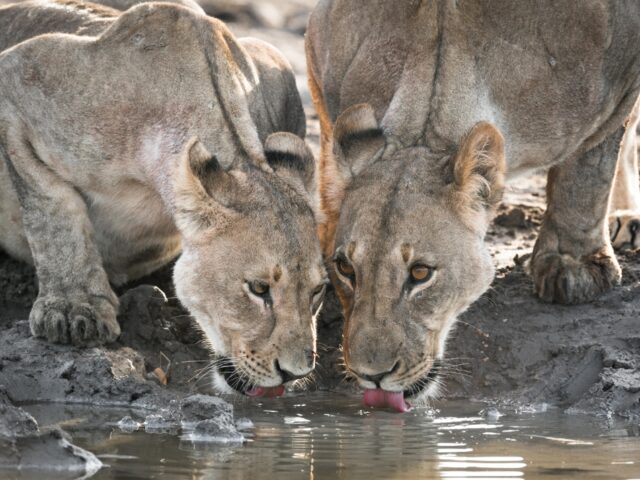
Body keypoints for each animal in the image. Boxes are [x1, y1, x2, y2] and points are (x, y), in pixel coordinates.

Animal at [0, 0, 328, 398]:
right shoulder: (19, 78)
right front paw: (73, 310)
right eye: (258, 288)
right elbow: (51, 208)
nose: (295, 373)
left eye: (317, 291)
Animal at [306, 0, 640, 412]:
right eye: (345, 269)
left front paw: (573, 267)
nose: (372, 374)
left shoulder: (622, 69)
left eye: (420, 273)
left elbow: (589, 170)